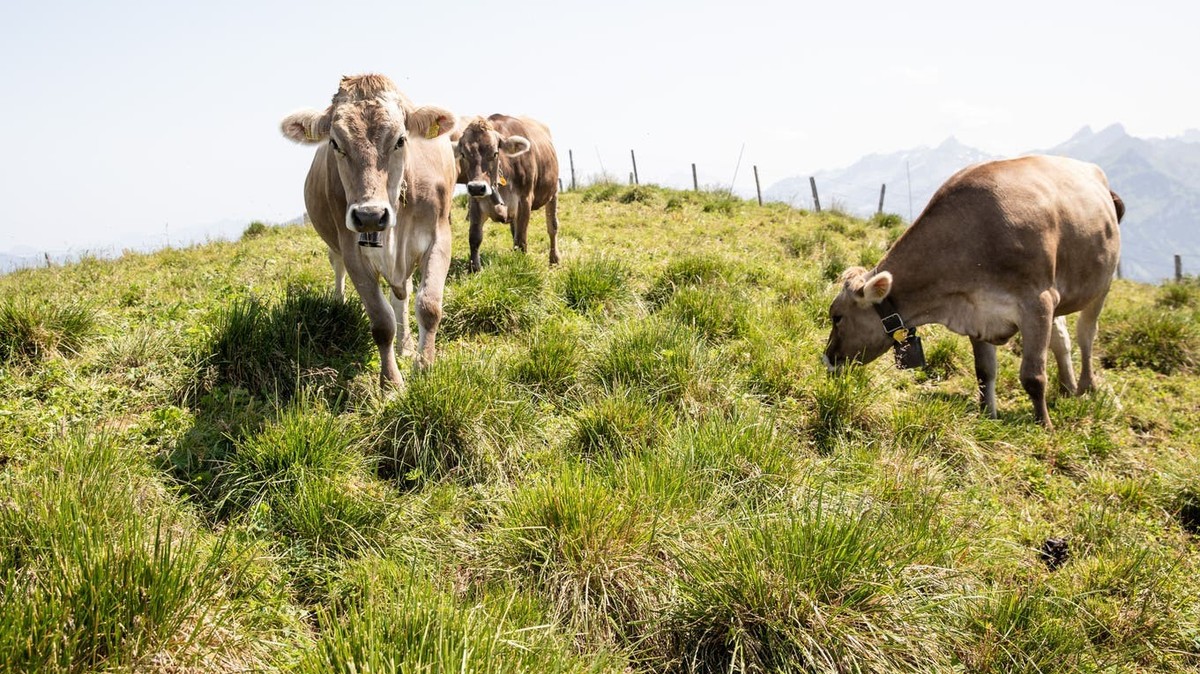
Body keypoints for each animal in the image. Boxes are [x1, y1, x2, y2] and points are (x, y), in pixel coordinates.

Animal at [280, 74, 457, 388]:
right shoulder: (353, 252)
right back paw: (339, 303)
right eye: (335, 143)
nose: (370, 215)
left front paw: (424, 367)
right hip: (336, 246)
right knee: (337, 265)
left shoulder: (439, 236)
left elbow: (428, 306)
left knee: (403, 296)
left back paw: (406, 345)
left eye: (400, 139)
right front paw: (391, 384)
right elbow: (381, 323)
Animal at [454, 115, 561, 272]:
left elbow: (521, 239)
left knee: (552, 227)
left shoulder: (525, 200)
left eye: (495, 153)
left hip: (553, 192)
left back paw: (554, 260)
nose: (477, 187)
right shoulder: (475, 202)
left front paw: (520, 266)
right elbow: (474, 237)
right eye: (463, 154)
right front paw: (475, 269)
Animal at [823, 155, 1123, 430]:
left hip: (1102, 284)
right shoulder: (977, 311)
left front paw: (1044, 427)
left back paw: (1086, 385)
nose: (827, 358)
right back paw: (1067, 386)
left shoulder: (1037, 302)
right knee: (1062, 337)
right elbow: (984, 371)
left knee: (1086, 334)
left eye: (837, 317)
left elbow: (1033, 375)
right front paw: (987, 415)